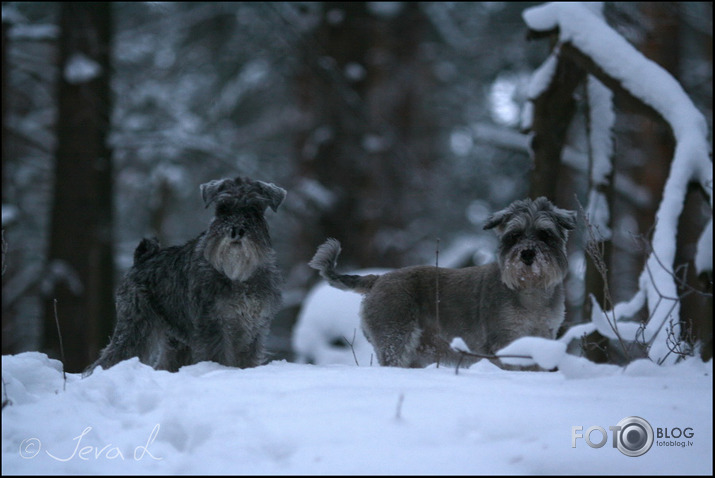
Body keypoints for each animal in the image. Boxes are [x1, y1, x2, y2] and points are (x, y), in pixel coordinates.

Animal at [84, 177, 286, 376]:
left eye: (255, 209)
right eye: (222, 208)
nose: (236, 230)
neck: (238, 276)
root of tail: (141, 259)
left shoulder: (254, 328)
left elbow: (247, 361)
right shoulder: (213, 324)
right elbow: (217, 357)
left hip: (176, 340)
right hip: (136, 326)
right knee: (112, 356)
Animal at [310, 196, 580, 368]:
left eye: (545, 234)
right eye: (514, 235)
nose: (527, 254)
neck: (529, 291)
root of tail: (378, 279)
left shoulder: (543, 339)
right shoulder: (503, 343)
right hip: (395, 341)